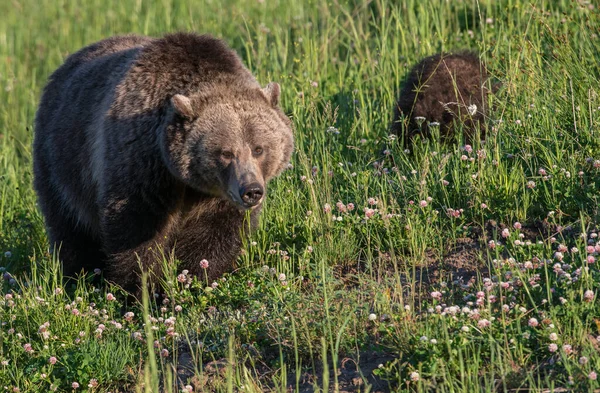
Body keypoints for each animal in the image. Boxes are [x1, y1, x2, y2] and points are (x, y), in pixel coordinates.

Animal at [33, 33, 296, 290]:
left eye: (259, 148)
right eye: (226, 153)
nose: (251, 190)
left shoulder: (218, 196)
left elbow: (216, 235)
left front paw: (198, 278)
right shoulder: (142, 164)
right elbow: (136, 229)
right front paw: (141, 288)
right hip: (63, 160)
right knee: (71, 226)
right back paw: (79, 277)